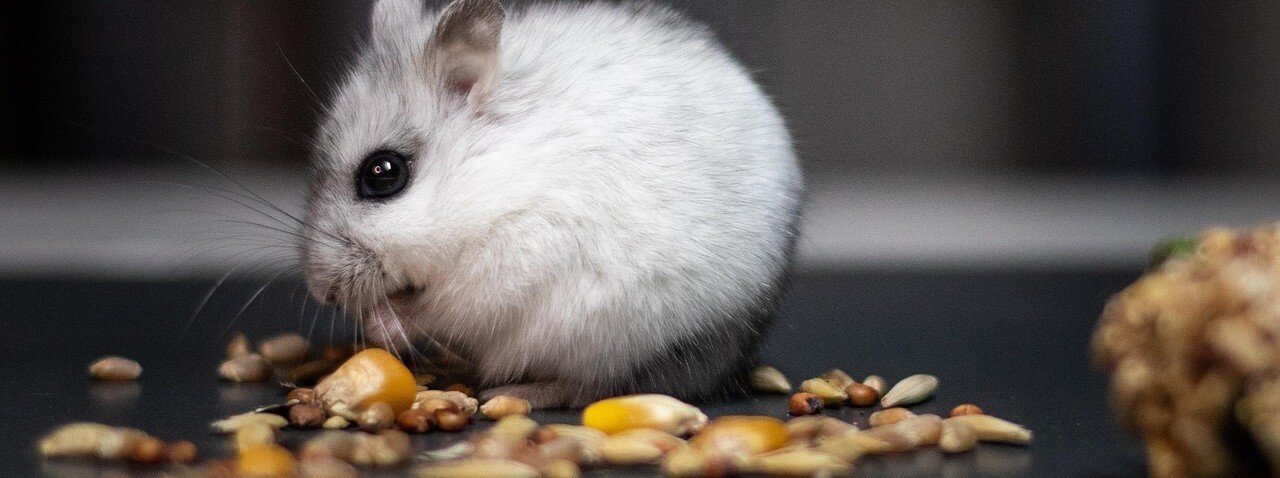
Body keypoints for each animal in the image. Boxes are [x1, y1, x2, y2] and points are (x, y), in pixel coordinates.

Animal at [301, 0, 802, 408]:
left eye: (383, 174)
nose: (321, 292)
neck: (490, 180)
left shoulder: (505, 263)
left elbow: (436, 308)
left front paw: (380, 325)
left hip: (627, 338)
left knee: (596, 387)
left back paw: (513, 393)